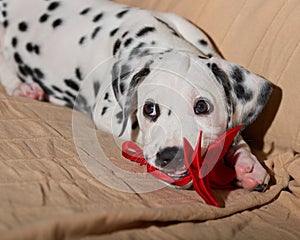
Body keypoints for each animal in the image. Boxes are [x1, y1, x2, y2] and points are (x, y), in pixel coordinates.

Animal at [0, 0, 272, 191]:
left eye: (202, 107)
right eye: (149, 109)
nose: (170, 156)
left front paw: (247, 164)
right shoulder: (109, 113)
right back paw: (22, 87)